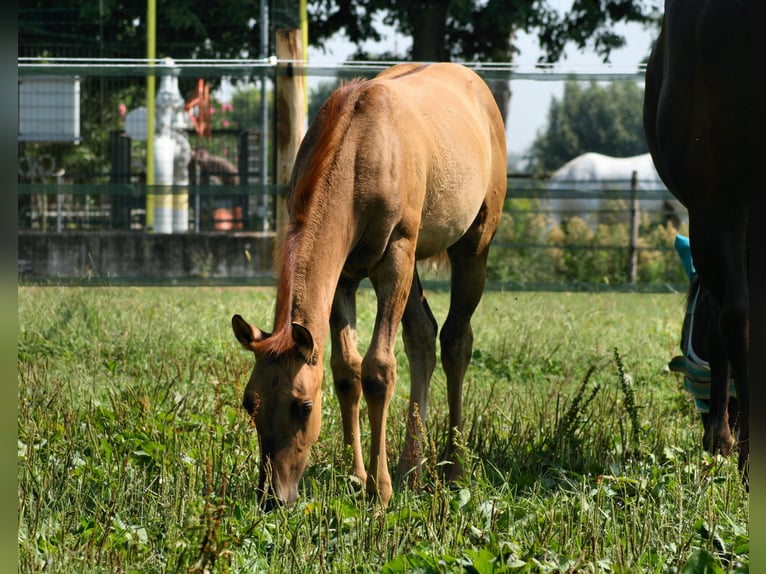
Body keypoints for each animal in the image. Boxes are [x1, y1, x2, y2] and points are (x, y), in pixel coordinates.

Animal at [234, 60, 510, 506]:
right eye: (249, 403)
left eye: (304, 406)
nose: (273, 496)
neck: (361, 150)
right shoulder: (344, 276)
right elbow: (347, 371)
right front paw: (357, 476)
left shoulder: (395, 255)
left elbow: (378, 369)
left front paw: (379, 492)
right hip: (413, 264)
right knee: (423, 337)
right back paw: (412, 468)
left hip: (471, 247)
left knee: (455, 340)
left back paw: (452, 468)